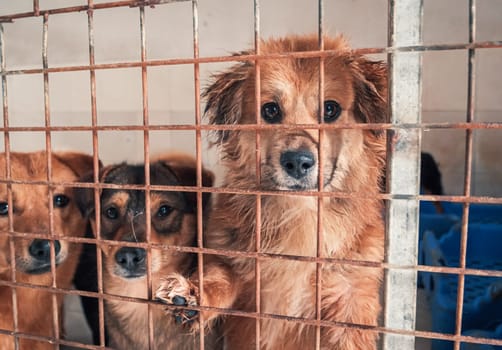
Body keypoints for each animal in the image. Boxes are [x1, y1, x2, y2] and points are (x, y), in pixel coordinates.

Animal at [157, 35, 388, 350]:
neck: (298, 217)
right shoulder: (232, 264)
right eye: (270, 110)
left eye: (330, 109)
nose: (297, 162)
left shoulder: (352, 298)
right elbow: (220, 278)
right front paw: (194, 295)